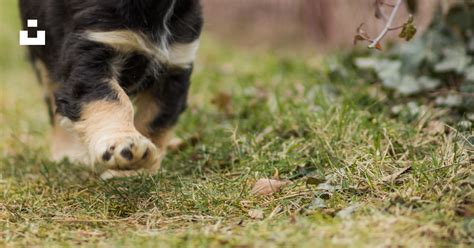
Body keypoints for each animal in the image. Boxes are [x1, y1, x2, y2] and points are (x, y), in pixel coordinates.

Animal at [20, 0, 203, 178]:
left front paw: (136, 169)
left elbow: (155, 119)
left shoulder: (175, 64)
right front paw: (122, 144)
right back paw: (68, 154)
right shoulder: (94, 49)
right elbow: (112, 101)